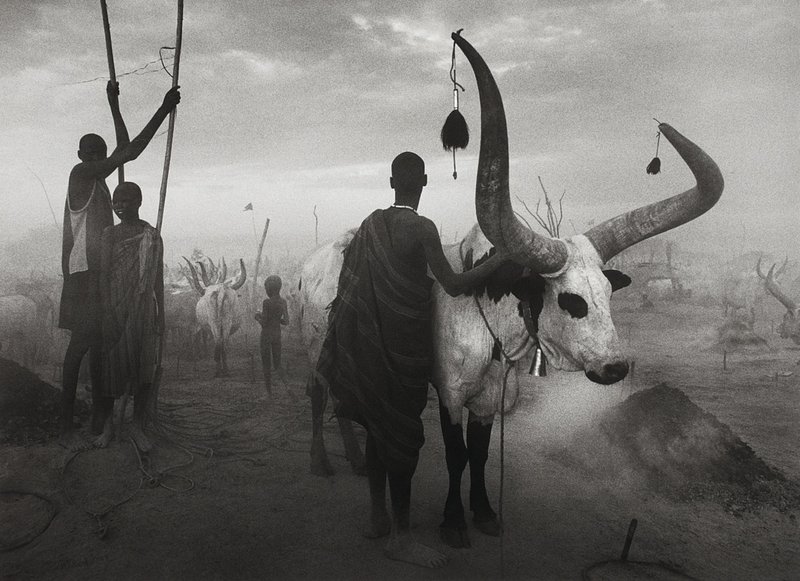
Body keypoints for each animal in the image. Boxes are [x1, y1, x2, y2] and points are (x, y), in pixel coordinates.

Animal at [300, 30, 724, 548]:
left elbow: (480, 455)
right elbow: (457, 456)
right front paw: (453, 523)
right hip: (318, 346)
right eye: (569, 301)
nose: (616, 367)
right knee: (319, 394)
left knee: (348, 405)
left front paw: (483, 512)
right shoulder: (451, 393)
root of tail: (312, 262)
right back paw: (325, 462)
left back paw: (360, 460)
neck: (491, 325)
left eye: (608, 294)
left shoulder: (490, 400)